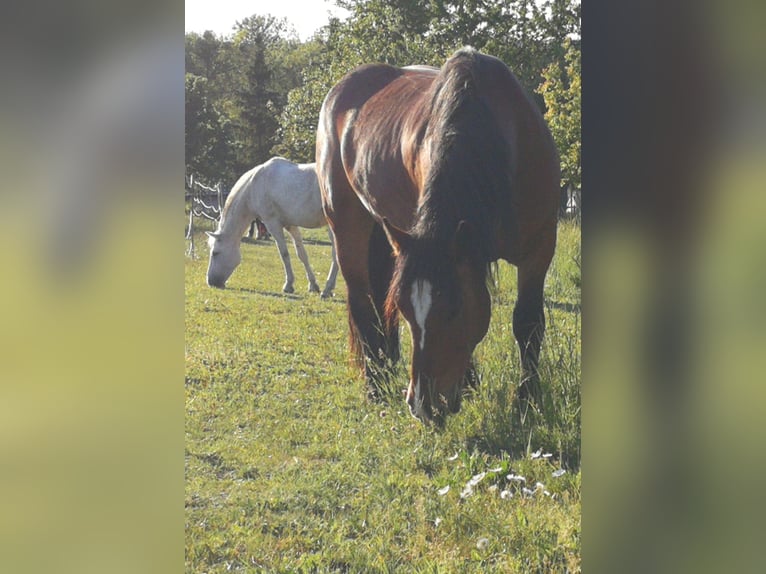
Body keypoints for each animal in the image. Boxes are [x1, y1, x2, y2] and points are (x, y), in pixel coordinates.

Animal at [207, 160, 340, 300]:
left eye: (215, 253)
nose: (211, 282)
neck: (254, 186)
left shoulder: (272, 224)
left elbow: (284, 254)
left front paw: (288, 285)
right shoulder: (291, 225)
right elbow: (302, 254)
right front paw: (313, 285)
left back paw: (327, 290)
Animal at [316, 47, 560, 424]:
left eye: (454, 310)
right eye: (406, 310)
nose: (423, 406)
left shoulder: (540, 246)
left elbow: (528, 322)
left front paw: (526, 400)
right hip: (347, 225)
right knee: (363, 302)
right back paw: (376, 385)